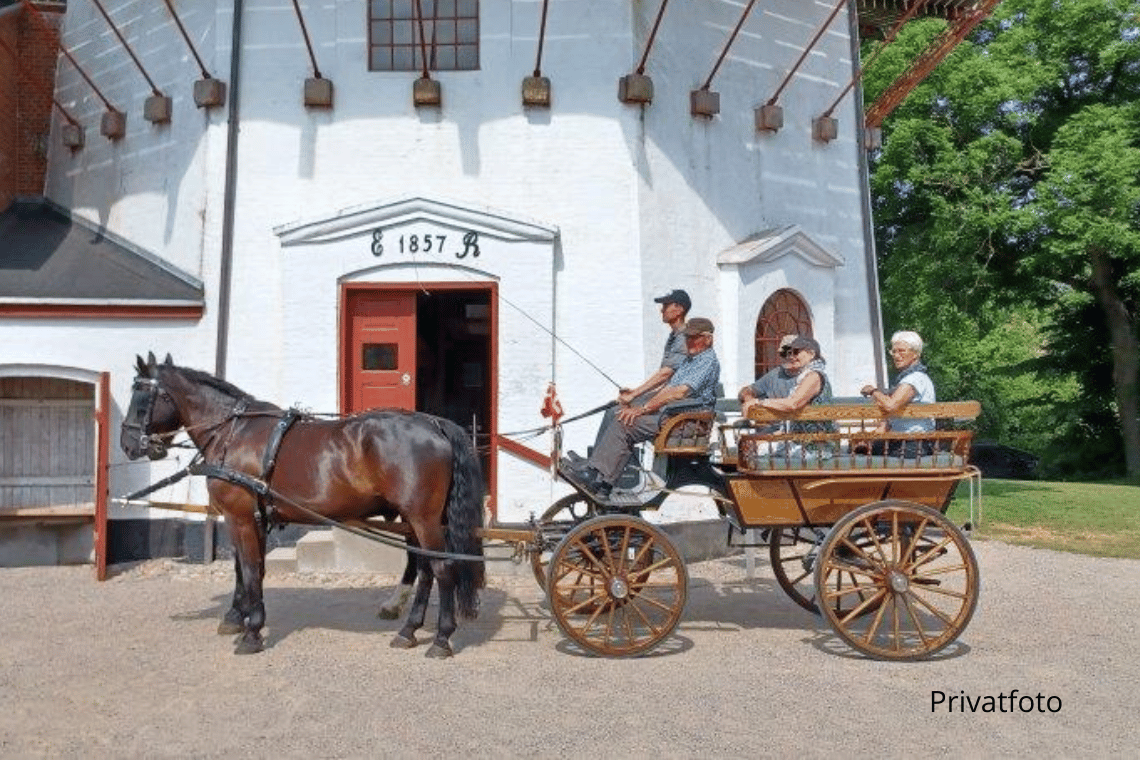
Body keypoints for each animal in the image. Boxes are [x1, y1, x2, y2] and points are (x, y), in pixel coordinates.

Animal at [121, 353, 485, 656]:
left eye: (141, 398)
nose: (128, 444)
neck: (232, 433)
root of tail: (434, 423)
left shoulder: (239, 517)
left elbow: (249, 570)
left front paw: (251, 632)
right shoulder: (253, 518)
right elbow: (249, 569)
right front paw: (239, 618)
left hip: (423, 519)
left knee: (442, 568)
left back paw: (441, 638)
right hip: (414, 520)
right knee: (424, 570)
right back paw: (408, 630)